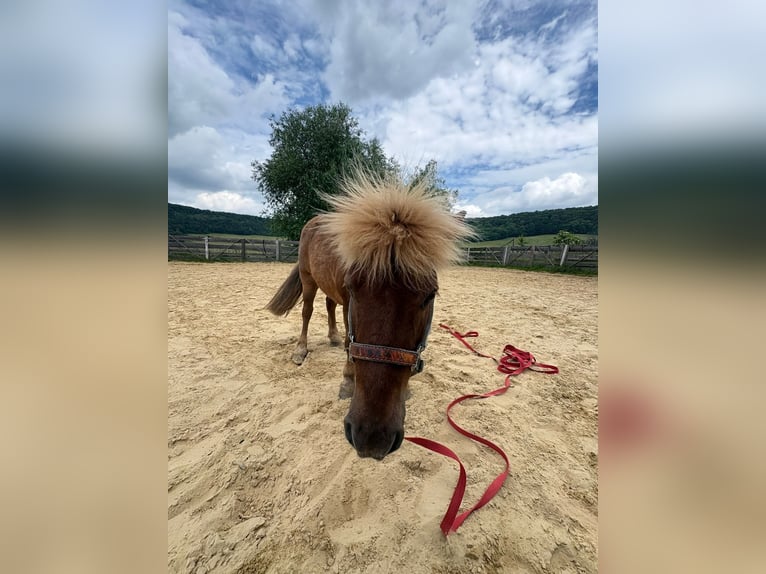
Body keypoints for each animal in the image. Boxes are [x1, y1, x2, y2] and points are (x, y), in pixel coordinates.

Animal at [266, 171, 473, 460]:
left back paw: (331, 337)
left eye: (430, 295)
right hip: (308, 280)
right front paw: (347, 380)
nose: (372, 437)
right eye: (354, 287)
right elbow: (349, 345)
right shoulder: (347, 302)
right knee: (307, 312)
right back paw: (301, 350)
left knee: (329, 306)